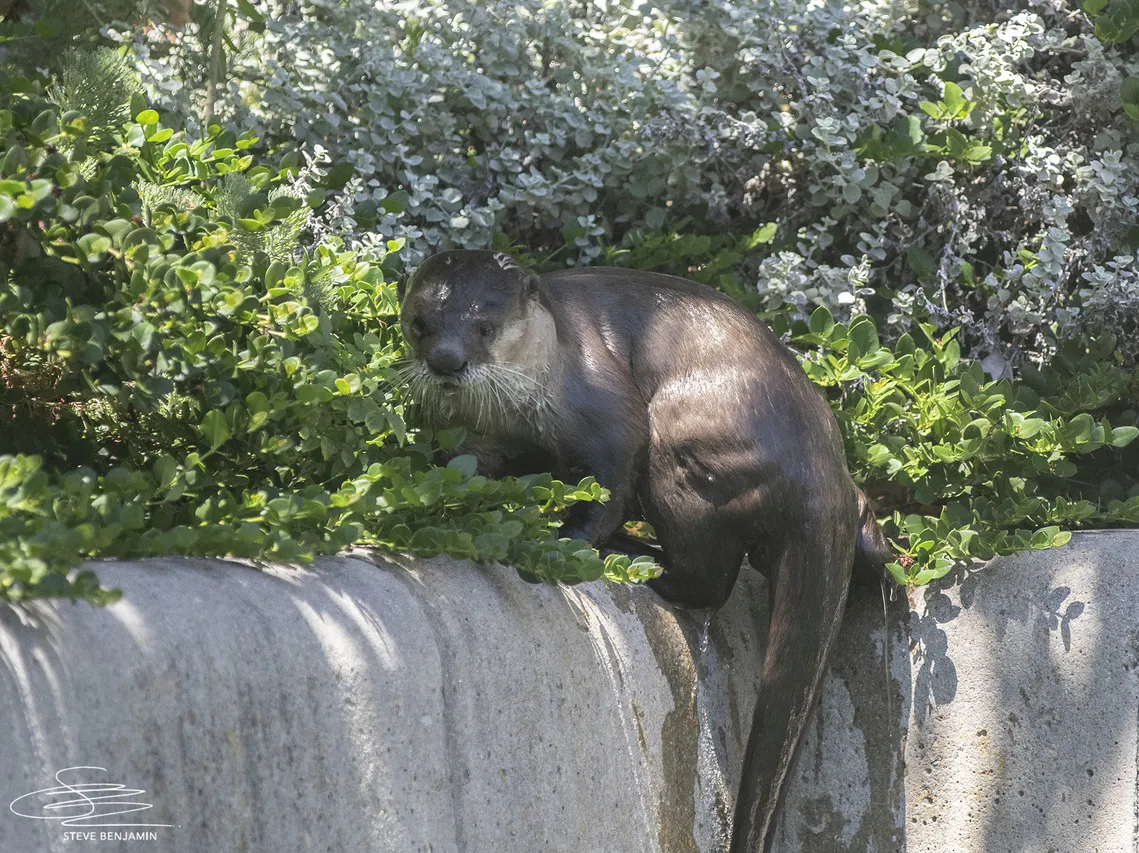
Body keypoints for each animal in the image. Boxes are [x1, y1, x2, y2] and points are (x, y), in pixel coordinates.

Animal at [398, 250, 890, 853]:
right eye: (420, 325)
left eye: (484, 327)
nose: (447, 361)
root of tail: (815, 477)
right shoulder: (475, 442)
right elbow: (467, 474)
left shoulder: (604, 410)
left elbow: (608, 479)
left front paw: (563, 543)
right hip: (841, 492)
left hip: (681, 440)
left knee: (708, 576)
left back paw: (647, 569)